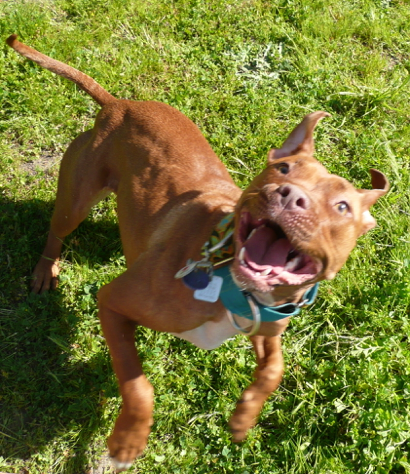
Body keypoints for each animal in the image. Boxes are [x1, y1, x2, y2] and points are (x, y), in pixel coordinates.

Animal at [8, 34, 390, 470]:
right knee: (56, 233)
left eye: (342, 207)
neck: (234, 286)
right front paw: (127, 441)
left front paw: (244, 416)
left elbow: (274, 369)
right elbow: (139, 386)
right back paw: (44, 272)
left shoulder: (268, 328)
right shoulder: (113, 302)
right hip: (77, 199)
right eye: (284, 169)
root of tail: (118, 105)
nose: (291, 195)